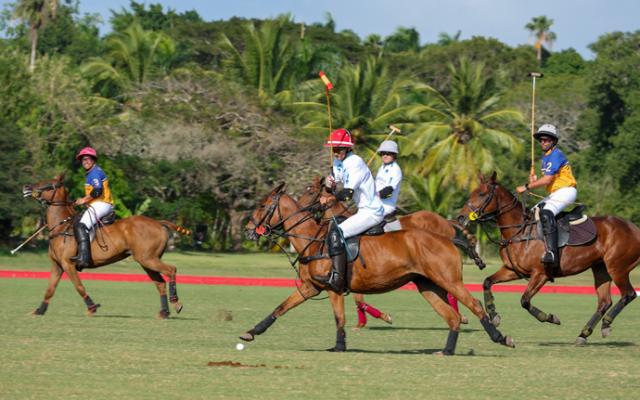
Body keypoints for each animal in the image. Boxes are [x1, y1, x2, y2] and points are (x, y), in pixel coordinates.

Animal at [21, 175, 190, 318]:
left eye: (48, 184)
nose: (26, 187)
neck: (61, 227)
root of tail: (158, 223)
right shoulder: (57, 264)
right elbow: (50, 289)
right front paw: (39, 310)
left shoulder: (67, 264)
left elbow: (79, 286)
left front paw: (92, 307)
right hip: (146, 260)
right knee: (160, 283)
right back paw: (164, 312)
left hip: (148, 259)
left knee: (171, 270)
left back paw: (176, 302)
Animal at [240, 183, 516, 354]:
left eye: (263, 205)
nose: (249, 230)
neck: (314, 239)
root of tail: (447, 237)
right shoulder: (311, 287)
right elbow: (280, 308)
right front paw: (251, 332)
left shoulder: (333, 287)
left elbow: (340, 318)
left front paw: (340, 346)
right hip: (427, 285)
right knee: (452, 316)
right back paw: (447, 350)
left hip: (449, 280)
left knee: (473, 305)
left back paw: (501, 337)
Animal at [458, 173, 636, 346]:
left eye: (481, 194)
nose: (460, 218)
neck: (520, 230)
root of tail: (634, 228)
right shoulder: (512, 270)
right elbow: (487, 282)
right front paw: (494, 315)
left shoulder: (540, 274)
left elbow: (525, 300)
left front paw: (551, 318)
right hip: (600, 268)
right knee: (605, 301)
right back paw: (583, 335)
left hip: (617, 268)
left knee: (629, 294)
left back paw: (606, 324)